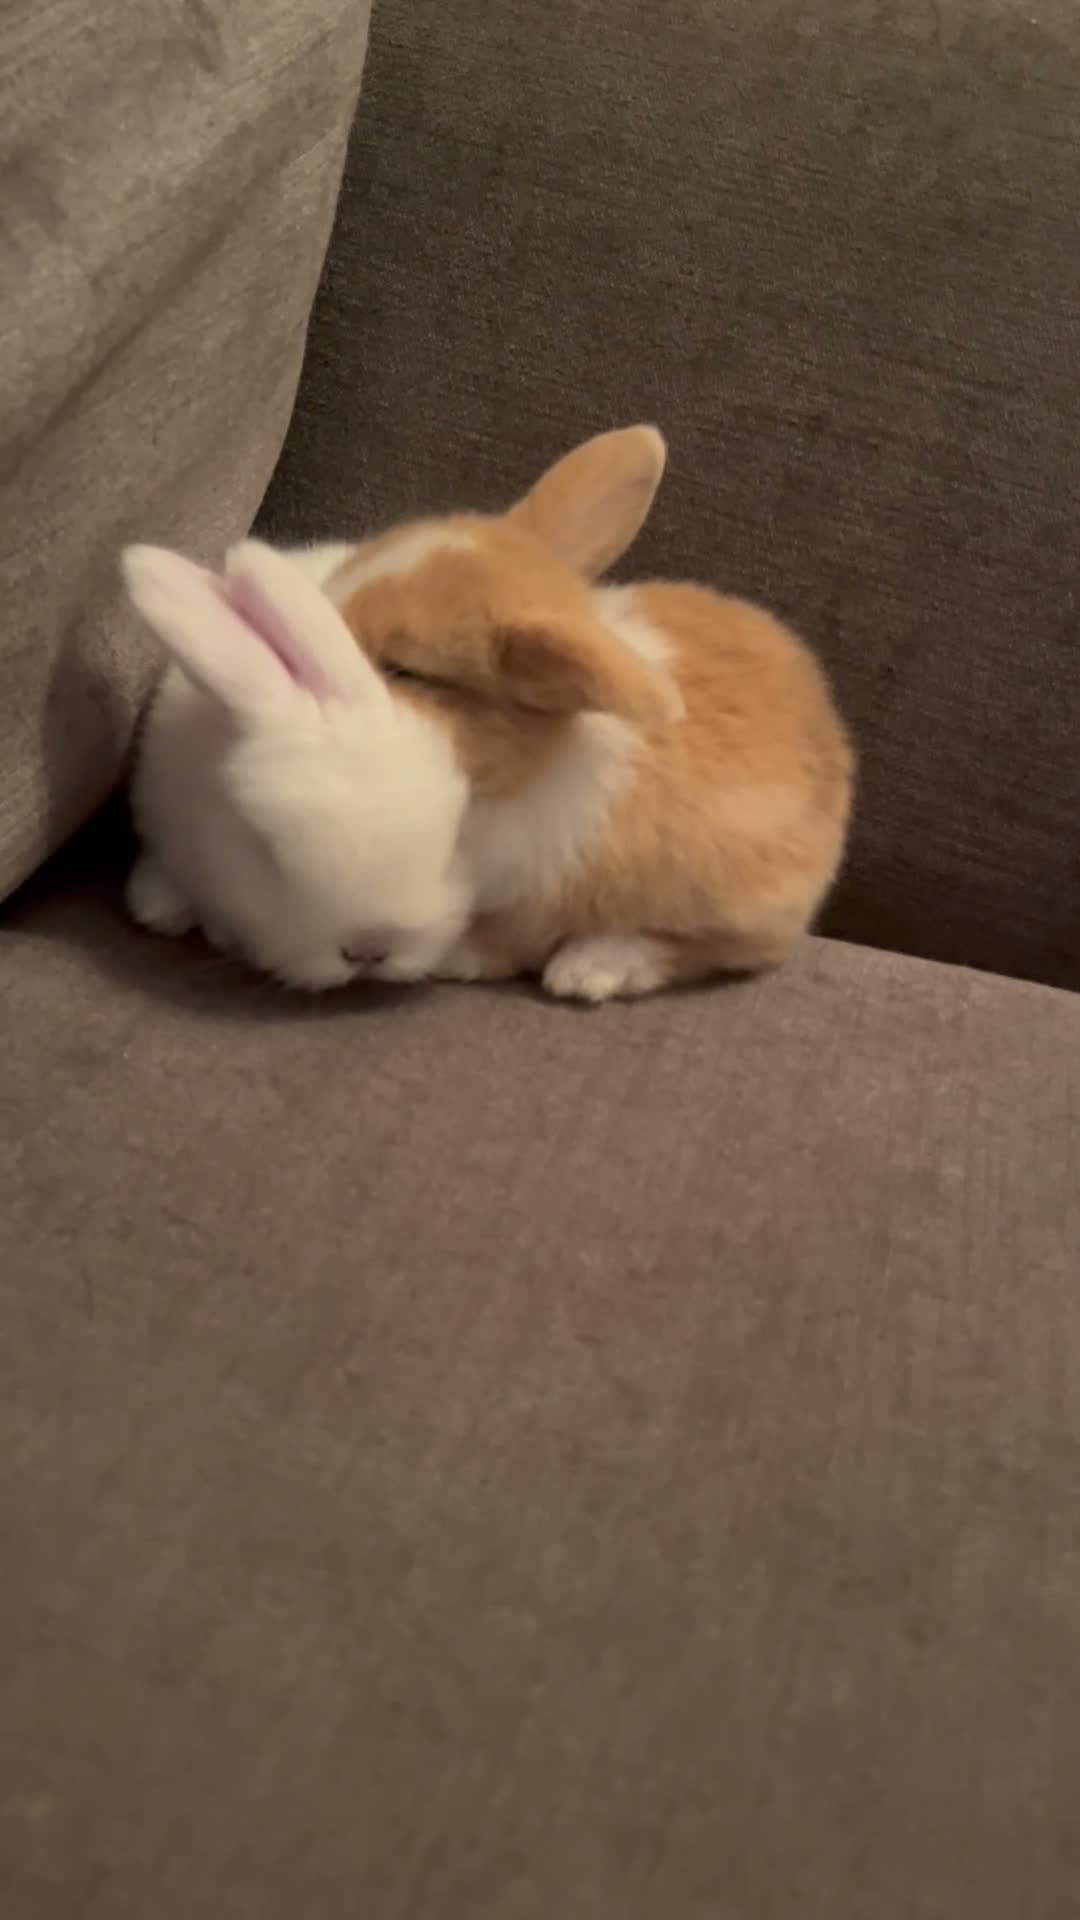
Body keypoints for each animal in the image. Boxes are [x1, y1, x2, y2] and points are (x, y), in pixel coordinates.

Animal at [312, 424, 854, 1002]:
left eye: (403, 669)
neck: (514, 764)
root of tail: (829, 727)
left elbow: (506, 940)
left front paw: (450, 956)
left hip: (740, 904)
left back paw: (590, 968)